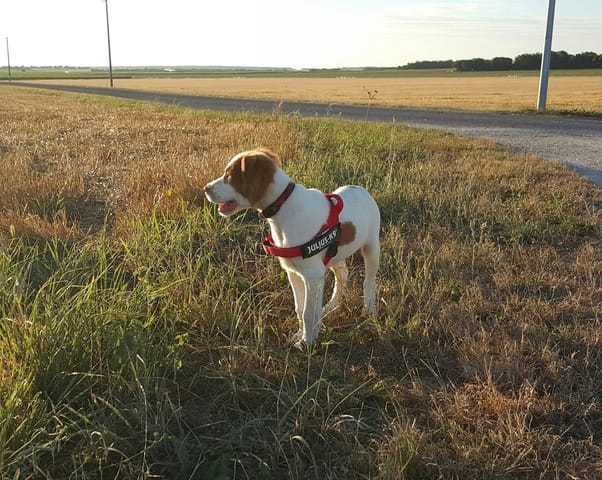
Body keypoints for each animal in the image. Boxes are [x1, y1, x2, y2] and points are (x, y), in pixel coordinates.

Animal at [203, 148, 380, 346]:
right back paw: (332, 305)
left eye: (229, 176)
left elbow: (308, 312)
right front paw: (301, 334)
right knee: (342, 274)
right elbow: (300, 308)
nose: (206, 188)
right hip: (335, 253)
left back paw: (369, 309)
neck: (282, 208)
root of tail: (360, 189)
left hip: (372, 247)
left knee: (369, 281)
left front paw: (307, 342)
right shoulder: (295, 271)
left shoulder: (312, 275)